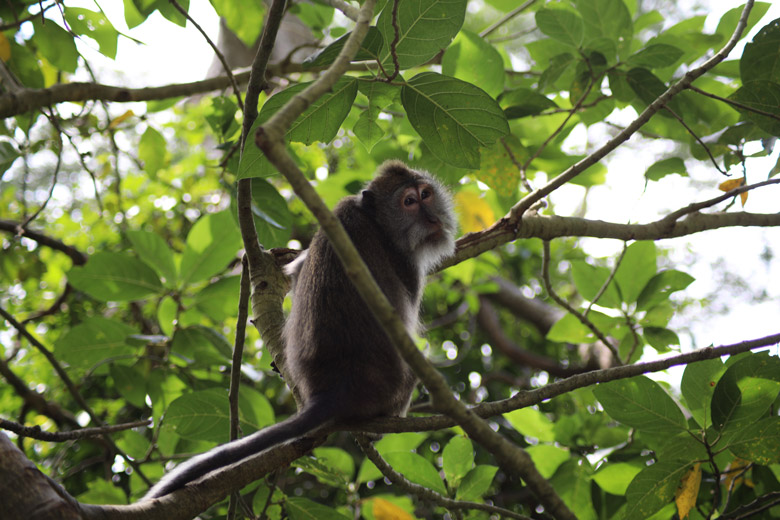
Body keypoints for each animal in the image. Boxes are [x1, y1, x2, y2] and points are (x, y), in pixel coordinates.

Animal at [145, 160, 458, 498]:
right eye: (409, 201)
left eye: (426, 194)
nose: (433, 219)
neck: (374, 220)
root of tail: (334, 390)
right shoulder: (406, 265)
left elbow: (294, 271)